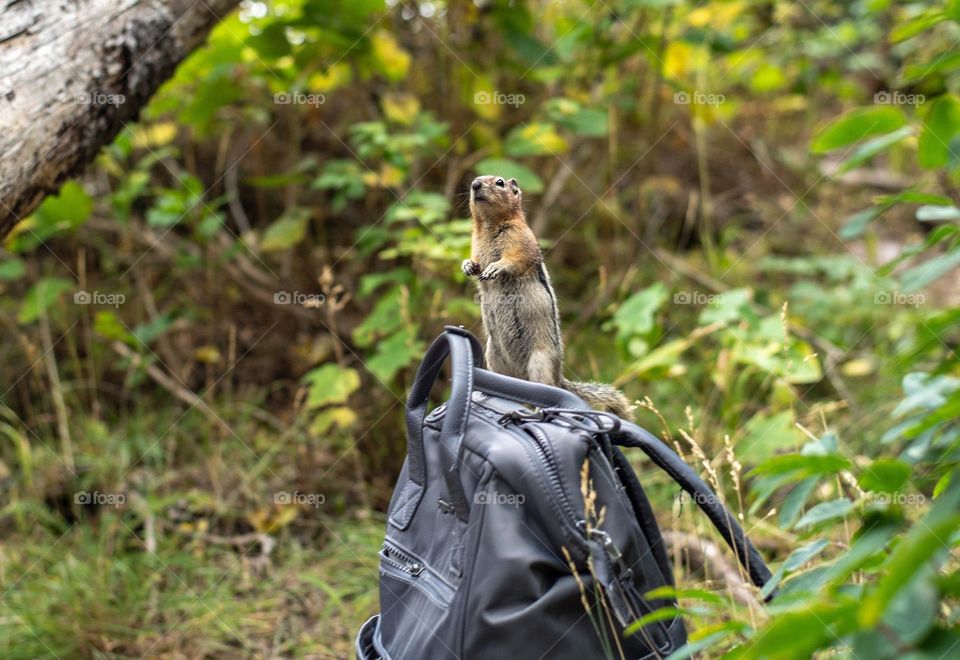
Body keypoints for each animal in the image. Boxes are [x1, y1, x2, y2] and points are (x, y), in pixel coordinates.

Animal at [464, 171, 632, 418]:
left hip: (539, 364)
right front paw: (467, 266)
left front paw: (495, 268)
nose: (475, 184)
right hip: (494, 356)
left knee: (544, 396)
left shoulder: (522, 242)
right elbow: (475, 264)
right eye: (475, 179)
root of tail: (558, 376)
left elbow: (513, 260)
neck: (488, 226)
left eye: (500, 182)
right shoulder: (475, 246)